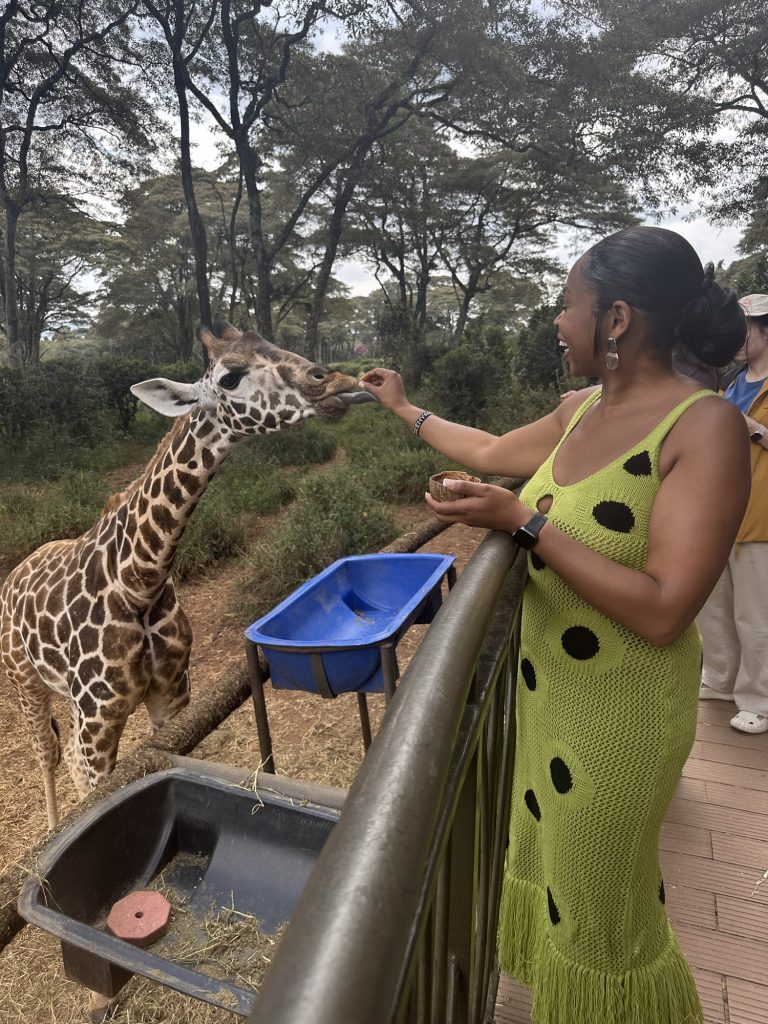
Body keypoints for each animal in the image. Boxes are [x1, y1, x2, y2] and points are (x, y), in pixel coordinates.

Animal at [0, 321, 372, 832]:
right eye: (230, 377)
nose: (335, 381)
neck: (139, 581)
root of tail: (14, 572)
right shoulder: (98, 721)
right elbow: (91, 791)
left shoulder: (172, 696)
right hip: (25, 682)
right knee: (50, 753)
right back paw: (55, 828)